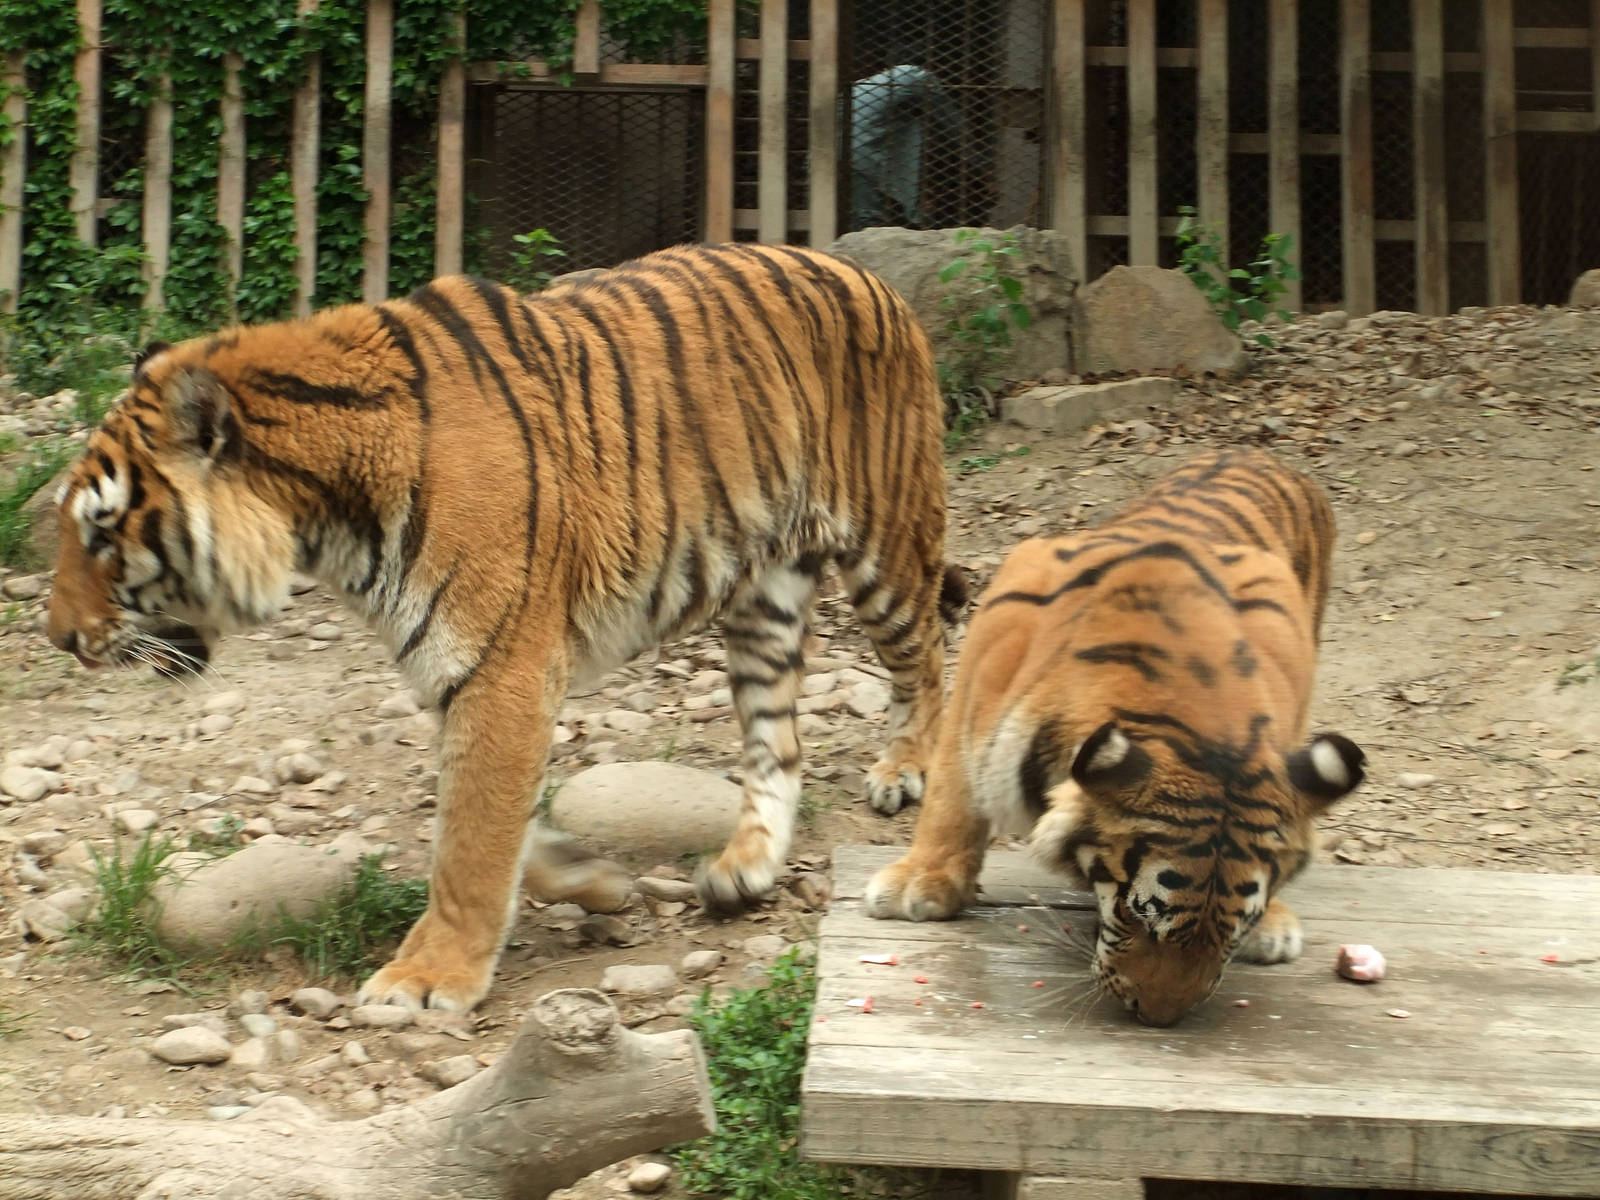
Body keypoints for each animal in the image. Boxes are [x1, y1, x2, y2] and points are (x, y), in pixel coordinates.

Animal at [44, 243, 963, 1013]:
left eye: (102, 532)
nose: (58, 638)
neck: (327, 515)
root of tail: (866, 273)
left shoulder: (501, 668)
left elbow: (471, 841)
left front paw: (426, 977)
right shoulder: (457, 672)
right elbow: (500, 823)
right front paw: (588, 874)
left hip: (885, 547)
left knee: (929, 665)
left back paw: (904, 774)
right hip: (764, 597)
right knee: (780, 743)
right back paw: (745, 870)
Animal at [865, 448, 1365, 1027]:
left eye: (1233, 930)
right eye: (1139, 914)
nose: (1159, 1016)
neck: (1188, 715)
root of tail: (1261, 453)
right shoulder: (977, 685)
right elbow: (953, 799)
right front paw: (919, 885)